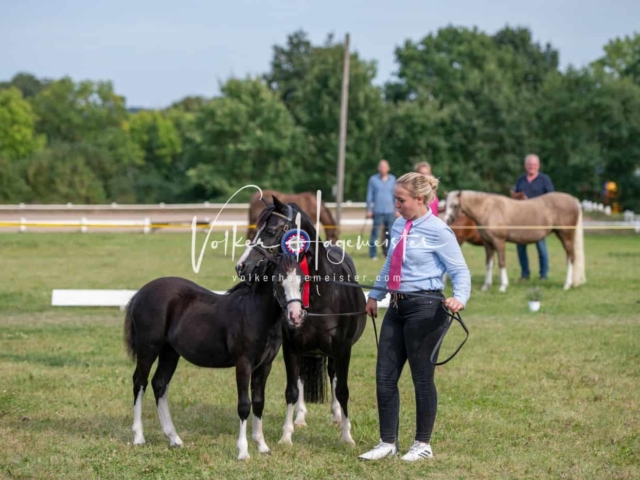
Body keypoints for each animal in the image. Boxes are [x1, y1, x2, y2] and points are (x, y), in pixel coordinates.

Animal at [125, 258, 304, 462]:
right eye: (278, 281)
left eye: (302, 282)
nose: (296, 316)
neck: (254, 314)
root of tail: (140, 293)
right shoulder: (243, 364)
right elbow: (244, 405)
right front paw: (243, 452)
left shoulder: (264, 366)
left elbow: (259, 403)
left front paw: (262, 446)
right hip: (147, 349)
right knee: (140, 383)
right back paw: (139, 437)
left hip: (169, 352)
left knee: (159, 384)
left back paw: (174, 438)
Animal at [235, 195, 368, 446]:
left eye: (270, 230)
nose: (241, 266)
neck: (321, 295)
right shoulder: (292, 348)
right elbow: (292, 391)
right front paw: (287, 435)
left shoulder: (343, 349)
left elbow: (342, 389)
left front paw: (347, 436)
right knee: (303, 380)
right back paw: (300, 418)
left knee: (333, 377)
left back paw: (337, 416)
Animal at [444, 189, 584, 290]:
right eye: (445, 205)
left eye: (455, 205)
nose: (446, 221)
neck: (489, 210)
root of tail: (574, 200)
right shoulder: (488, 244)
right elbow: (489, 264)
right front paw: (486, 286)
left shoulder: (499, 242)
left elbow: (501, 263)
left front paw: (503, 286)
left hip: (566, 236)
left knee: (571, 258)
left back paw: (566, 285)